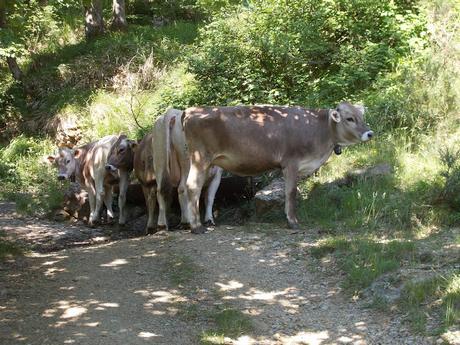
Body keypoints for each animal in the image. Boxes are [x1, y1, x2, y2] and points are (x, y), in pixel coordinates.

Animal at [182, 101, 374, 232]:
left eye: (362, 117)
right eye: (350, 118)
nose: (370, 133)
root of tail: (191, 110)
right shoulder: (291, 163)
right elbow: (291, 192)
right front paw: (293, 221)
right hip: (200, 158)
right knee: (193, 186)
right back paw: (196, 227)